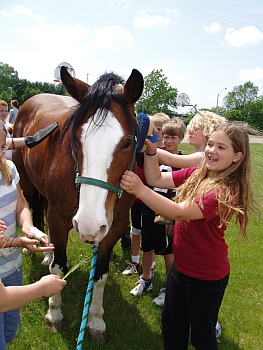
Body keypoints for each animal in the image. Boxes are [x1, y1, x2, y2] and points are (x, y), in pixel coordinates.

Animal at [12, 67, 144, 340]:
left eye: (127, 142)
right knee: (36, 217)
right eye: (75, 139)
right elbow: (59, 268)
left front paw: (95, 320)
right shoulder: (59, 218)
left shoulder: (114, 228)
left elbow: (100, 275)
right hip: (29, 185)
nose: (88, 226)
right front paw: (54, 313)